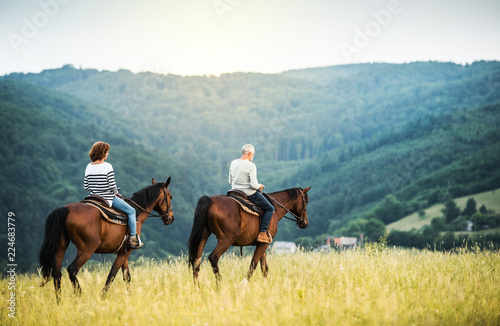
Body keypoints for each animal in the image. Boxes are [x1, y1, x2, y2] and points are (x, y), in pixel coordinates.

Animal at [38, 177, 174, 302]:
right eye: (171, 197)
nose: (171, 218)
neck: (137, 214)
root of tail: (67, 209)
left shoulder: (124, 251)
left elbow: (126, 276)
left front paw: (130, 297)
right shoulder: (126, 252)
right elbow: (112, 274)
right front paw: (102, 297)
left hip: (60, 248)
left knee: (57, 274)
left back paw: (59, 301)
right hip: (87, 249)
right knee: (72, 269)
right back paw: (80, 297)